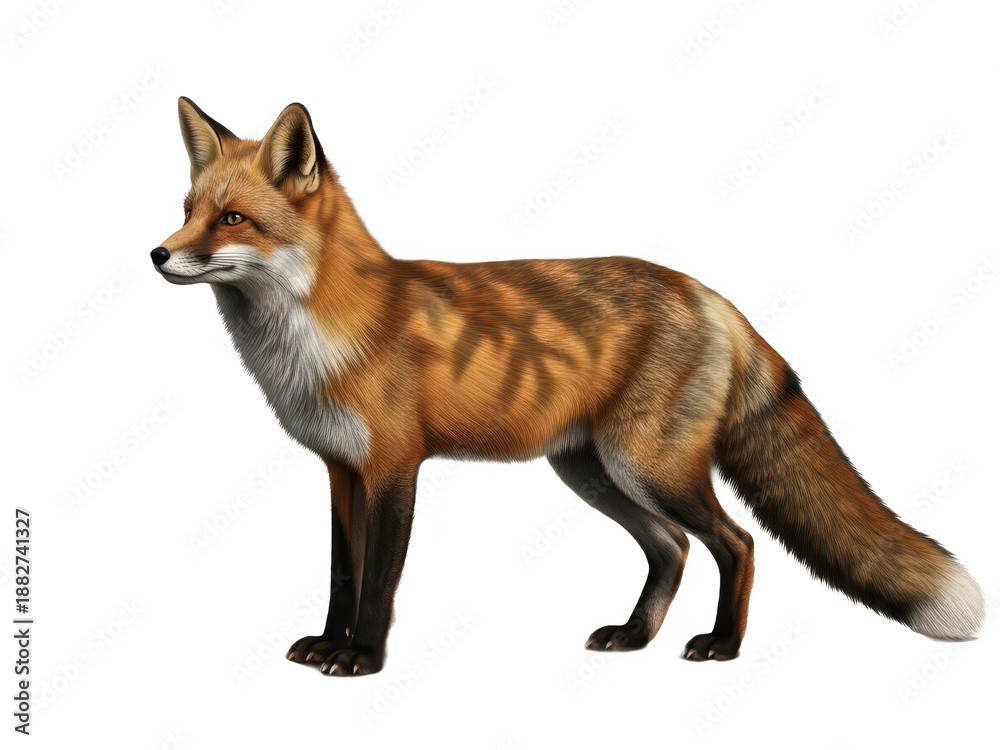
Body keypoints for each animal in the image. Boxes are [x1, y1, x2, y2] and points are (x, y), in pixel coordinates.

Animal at [152, 97, 984, 676]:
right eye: (188, 211)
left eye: (233, 220)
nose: (157, 254)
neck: (321, 335)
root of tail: (709, 295)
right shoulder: (339, 470)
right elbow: (339, 572)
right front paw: (329, 644)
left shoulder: (393, 467)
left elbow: (378, 581)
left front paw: (361, 659)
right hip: (592, 471)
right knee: (674, 548)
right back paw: (635, 635)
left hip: (650, 467)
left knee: (736, 543)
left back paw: (721, 645)